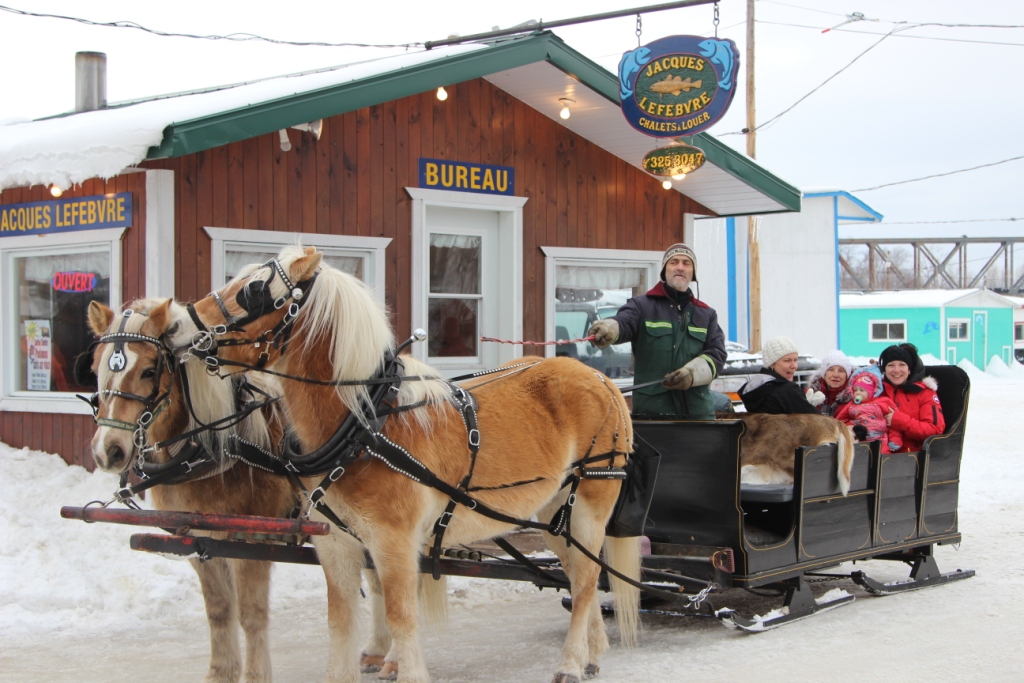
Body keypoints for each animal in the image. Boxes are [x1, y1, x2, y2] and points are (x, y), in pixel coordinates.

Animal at [90, 299, 450, 683]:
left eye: (148, 370)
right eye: (95, 368)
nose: (108, 451)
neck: (219, 446)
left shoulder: (252, 541)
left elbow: (251, 613)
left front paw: (255, 675)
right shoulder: (201, 539)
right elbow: (219, 611)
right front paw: (221, 673)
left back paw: (394, 658)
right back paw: (376, 650)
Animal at [159, 248, 638, 683]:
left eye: (254, 291)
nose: (175, 326)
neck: (365, 425)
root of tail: (600, 379)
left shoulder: (394, 541)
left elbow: (401, 616)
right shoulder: (336, 544)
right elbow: (340, 622)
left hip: (590, 504)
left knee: (586, 580)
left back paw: (570, 663)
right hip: (551, 512)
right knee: (579, 575)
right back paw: (592, 651)